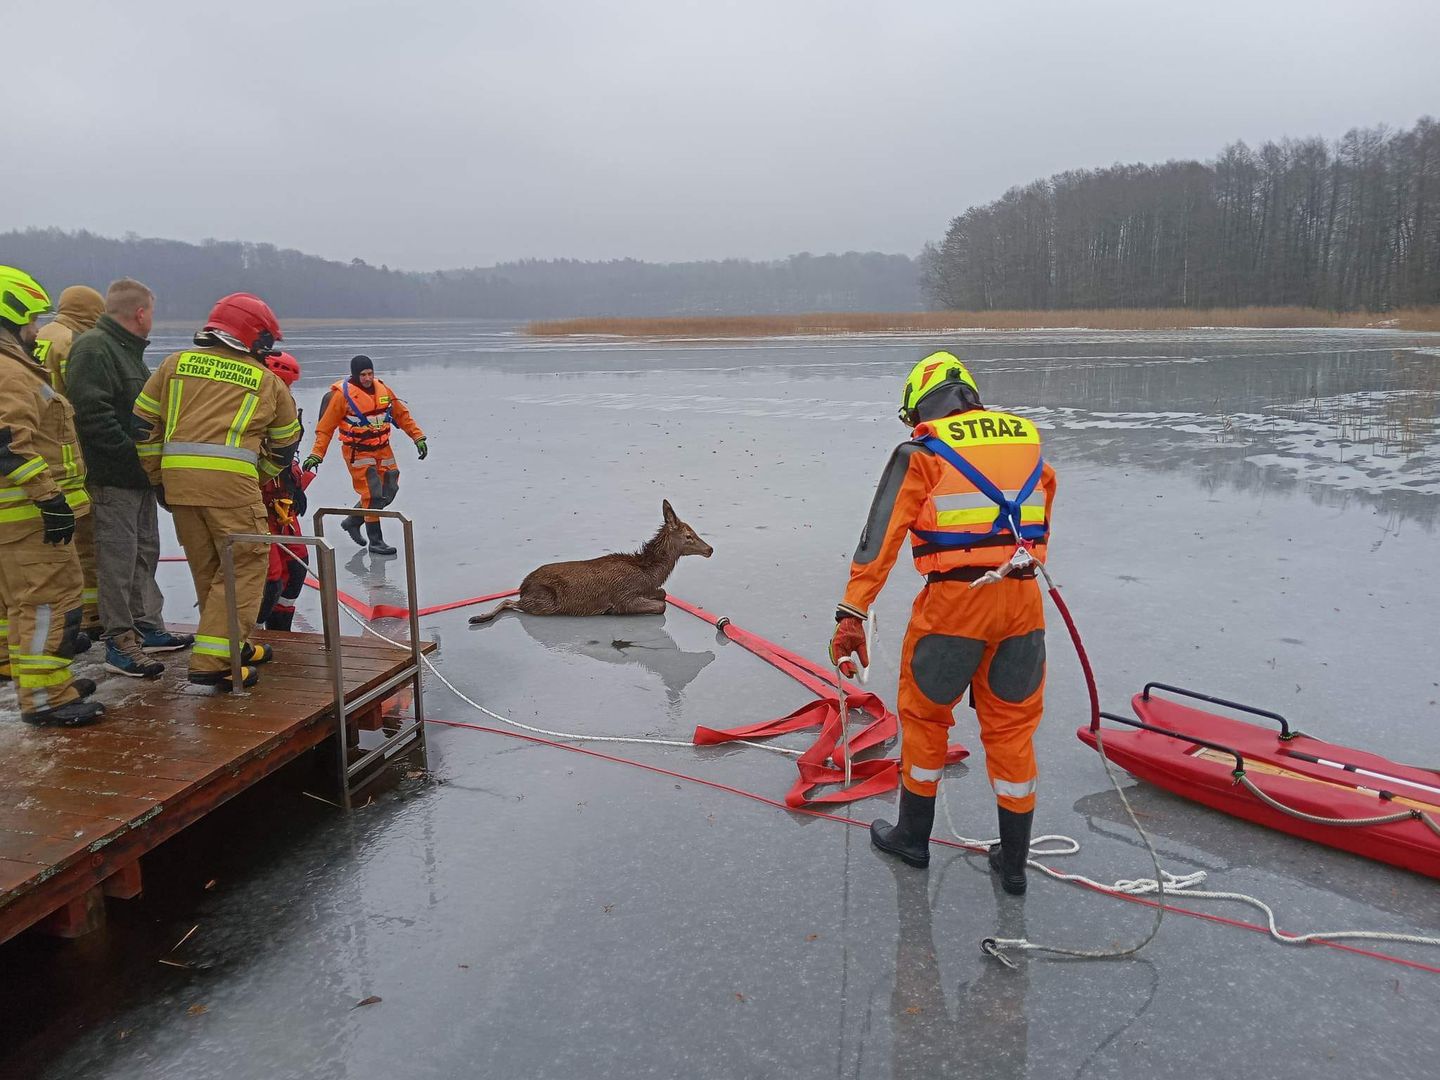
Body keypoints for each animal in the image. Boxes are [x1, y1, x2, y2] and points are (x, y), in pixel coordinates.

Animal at [469, 501, 711, 624]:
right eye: (689, 535)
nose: (710, 549)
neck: (648, 574)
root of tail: (523, 586)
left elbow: (663, 594)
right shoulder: (624, 597)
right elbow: (661, 605)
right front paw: (610, 611)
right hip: (544, 602)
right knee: (508, 601)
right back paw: (479, 616)